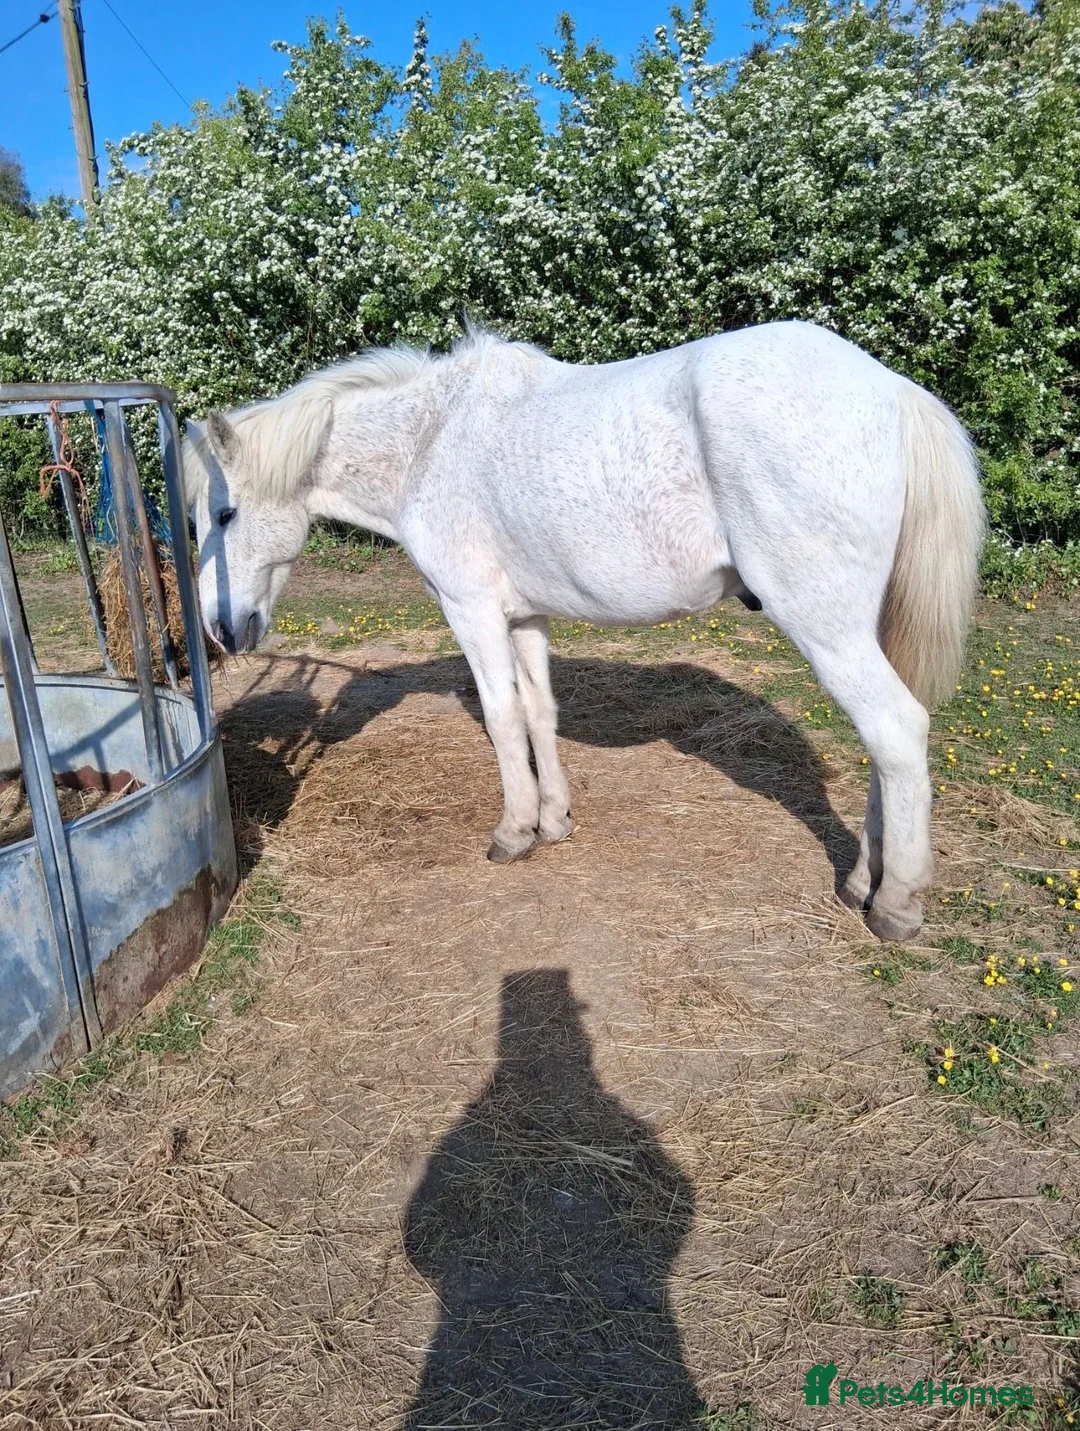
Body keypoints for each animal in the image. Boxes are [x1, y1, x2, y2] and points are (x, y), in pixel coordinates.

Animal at [183, 320, 986, 942]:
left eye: (223, 513)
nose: (221, 630)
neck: (431, 441)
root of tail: (890, 388)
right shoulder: (525, 616)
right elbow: (540, 713)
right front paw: (554, 820)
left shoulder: (471, 610)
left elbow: (503, 718)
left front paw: (514, 832)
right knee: (885, 749)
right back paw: (861, 881)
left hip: (826, 625)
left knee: (896, 730)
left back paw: (896, 905)